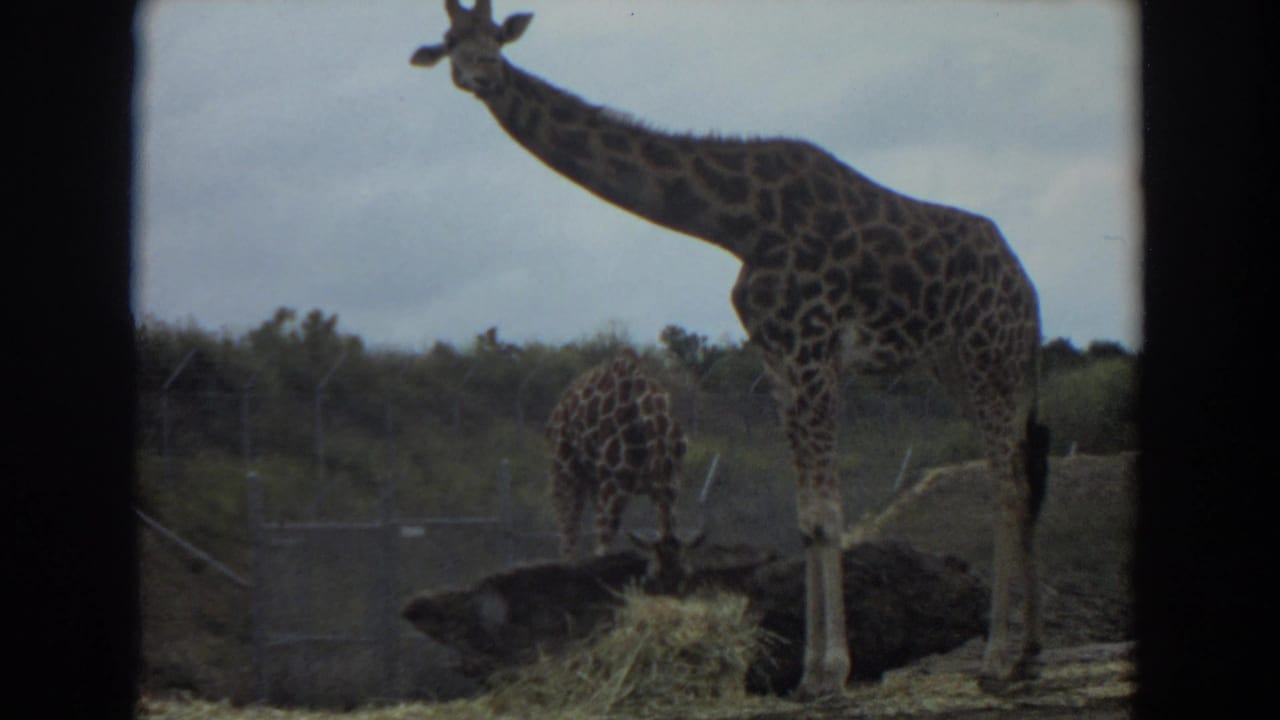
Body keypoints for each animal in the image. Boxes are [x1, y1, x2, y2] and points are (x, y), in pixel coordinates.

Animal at [546, 348, 700, 594]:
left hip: (595, 482)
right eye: (652, 580)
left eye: (684, 580)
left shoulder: (671, 483)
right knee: (568, 529)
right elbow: (603, 543)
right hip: (565, 469)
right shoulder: (615, 484)